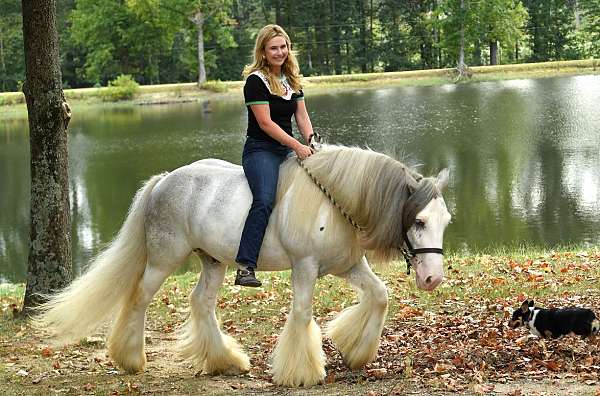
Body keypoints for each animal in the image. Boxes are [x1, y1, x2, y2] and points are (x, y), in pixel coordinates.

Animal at [35, 143, 450, 386]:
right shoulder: (305, 266)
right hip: (164, 259)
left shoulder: (348, 265)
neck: (332, 203)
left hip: (214, 262)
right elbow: (302, 314)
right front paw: (301, 373)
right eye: (418, 221)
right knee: (139, 298)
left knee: (201, 303)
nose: (432, 278)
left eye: (445, 220)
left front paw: (357, 352)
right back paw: (132, 359)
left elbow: (379, 296)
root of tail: (164, 181)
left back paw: (225, 361)